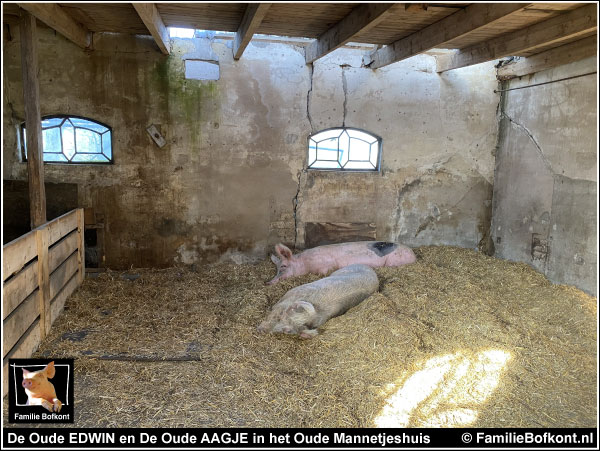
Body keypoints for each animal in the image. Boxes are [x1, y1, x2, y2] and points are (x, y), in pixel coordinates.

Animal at [268, 242, 418, 284]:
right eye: (276, 268)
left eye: (283, 266)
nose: (268, 282)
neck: (305, 263)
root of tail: (413, 254)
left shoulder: (326, 266)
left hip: (394, 261)